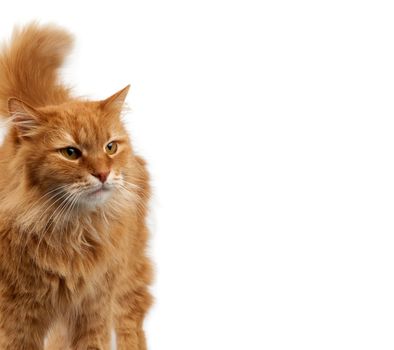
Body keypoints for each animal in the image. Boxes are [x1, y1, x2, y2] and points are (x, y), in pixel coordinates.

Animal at [0, 23, 152, 348]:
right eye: (70, 153)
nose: (104, 174)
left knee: (131, 321)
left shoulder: (93, 310)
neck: (70, 230)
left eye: (110, 147)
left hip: (129, 276)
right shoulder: (17, 319)